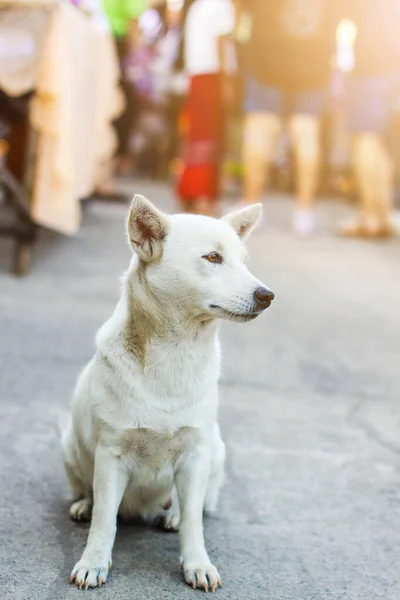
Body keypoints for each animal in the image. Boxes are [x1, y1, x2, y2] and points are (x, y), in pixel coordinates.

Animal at [63, 196, 276, 592]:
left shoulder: (195, 454)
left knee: (191, 504)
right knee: (90, 494)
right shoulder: (111, 455)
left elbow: (193, 521)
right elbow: (104, 521)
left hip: (215, 450)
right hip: (68, 444)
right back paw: (84, 504)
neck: (174, 354)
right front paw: (93, 561)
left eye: (244, 260)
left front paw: (197, 563)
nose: (267, 296)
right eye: (213, 257)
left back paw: (172, 513)